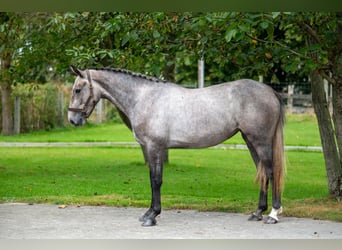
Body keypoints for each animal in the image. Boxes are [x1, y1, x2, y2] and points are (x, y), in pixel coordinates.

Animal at [68, 66, 284, 227]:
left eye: (77, 89)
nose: (72, 120)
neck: (144, 98)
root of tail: (269, 90)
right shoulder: (152, 148)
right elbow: (152, 179)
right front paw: (148, 213)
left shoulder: (155, 147)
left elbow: (156, 180)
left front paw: (152, 216)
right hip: (250, 141)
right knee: (262, 173)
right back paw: (257, 212)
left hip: (260, 142)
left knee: (271, 172)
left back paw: (273, 214)